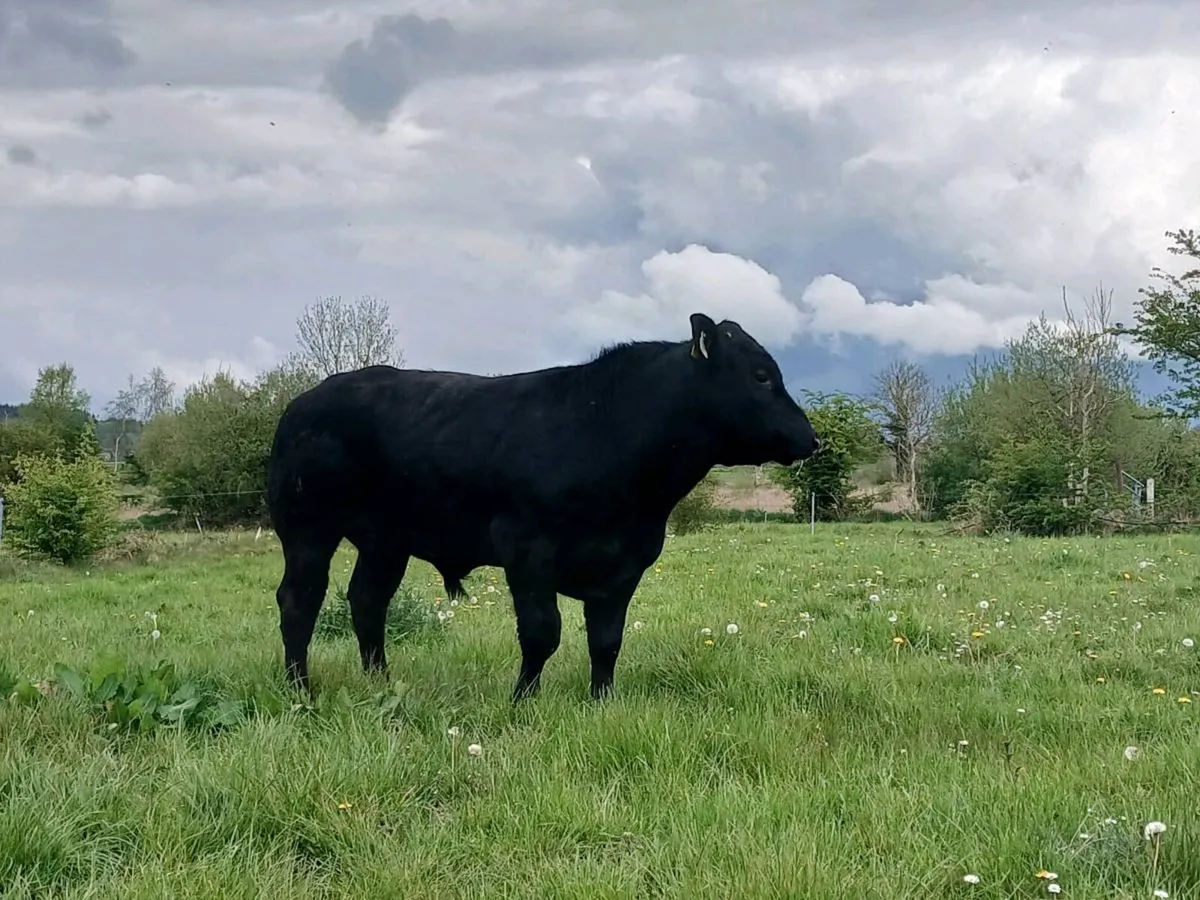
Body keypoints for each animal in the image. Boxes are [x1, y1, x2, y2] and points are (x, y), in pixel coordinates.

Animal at [265, 312, 820, 702]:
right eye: (761, 376)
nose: (811, 437)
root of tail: (306, 400)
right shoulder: (528, 549)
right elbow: (541, 633)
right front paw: (523, 700)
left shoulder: (627, 563)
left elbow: (606, 639)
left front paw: (602, 701)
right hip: (307, 529)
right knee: (300, 601)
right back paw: (300, 689)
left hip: (387, 541)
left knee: (367, 602)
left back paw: (380, 681)